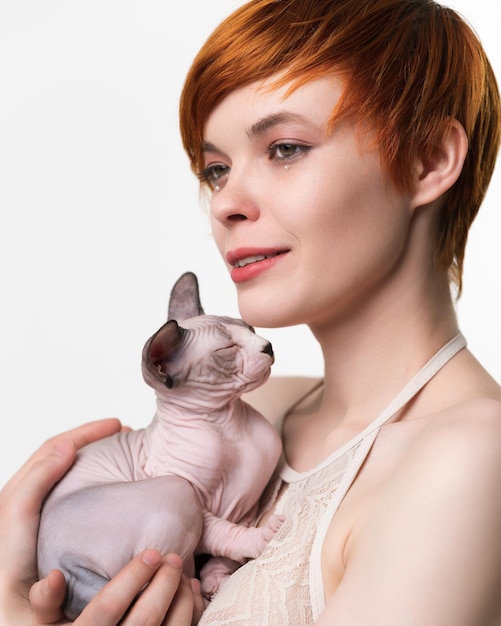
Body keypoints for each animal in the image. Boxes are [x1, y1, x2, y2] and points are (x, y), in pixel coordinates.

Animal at [37, 270, 284, 616]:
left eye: (249, 328)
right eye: (227, 350)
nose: (268, 346)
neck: (227, 425)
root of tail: (62, 567)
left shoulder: (247, 504)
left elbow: (223, 547)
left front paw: (216, 578)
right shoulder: (198, 502)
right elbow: (224, 533)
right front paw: (261, 539)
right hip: (174, 490)